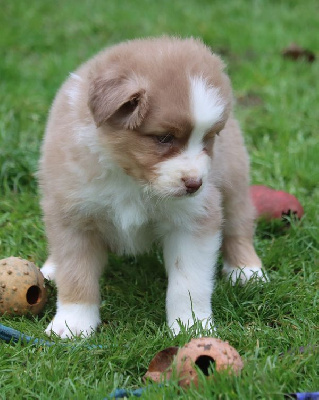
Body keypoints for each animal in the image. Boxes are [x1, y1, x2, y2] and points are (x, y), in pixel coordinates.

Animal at [38, 36, 268, 338]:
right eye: (164, 137)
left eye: (208, 138)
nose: (195, 184)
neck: (130, 179)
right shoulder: (72, 216)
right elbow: (76, 274)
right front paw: (72, 324)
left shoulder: (193, 219)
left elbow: (189, 283)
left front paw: (192, 327)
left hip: (233, 180)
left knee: (238, 226)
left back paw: (247, 271)